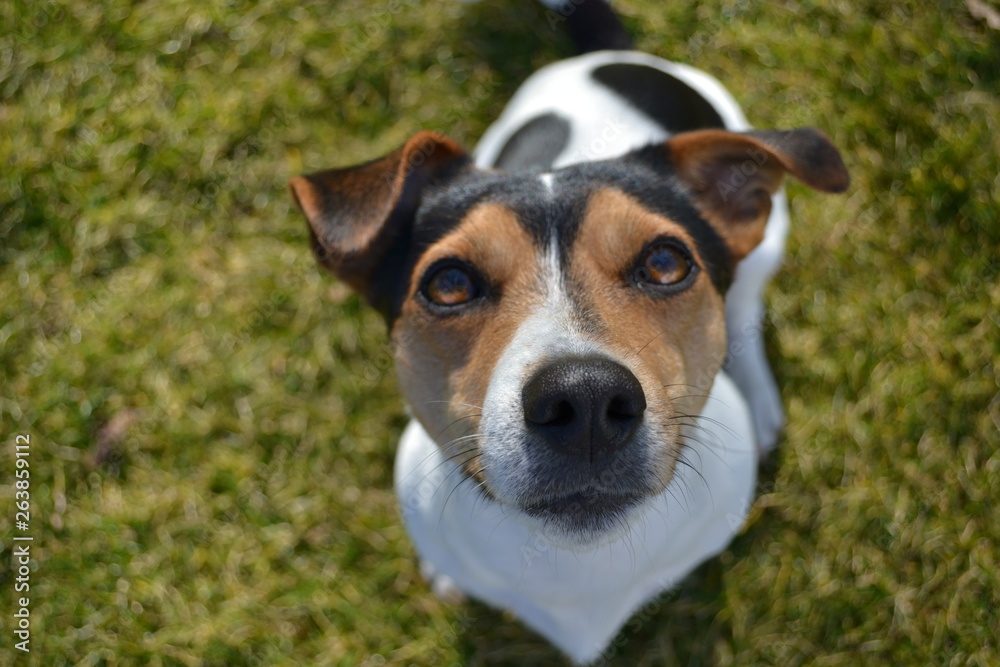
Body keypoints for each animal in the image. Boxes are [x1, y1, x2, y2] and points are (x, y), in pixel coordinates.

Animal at [288, 2, 844, 664]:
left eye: (666, 262)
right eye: (449, 283)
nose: (584, 398)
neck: (577, 568)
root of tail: (616, 55)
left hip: (770, 242)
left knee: (747, 311)